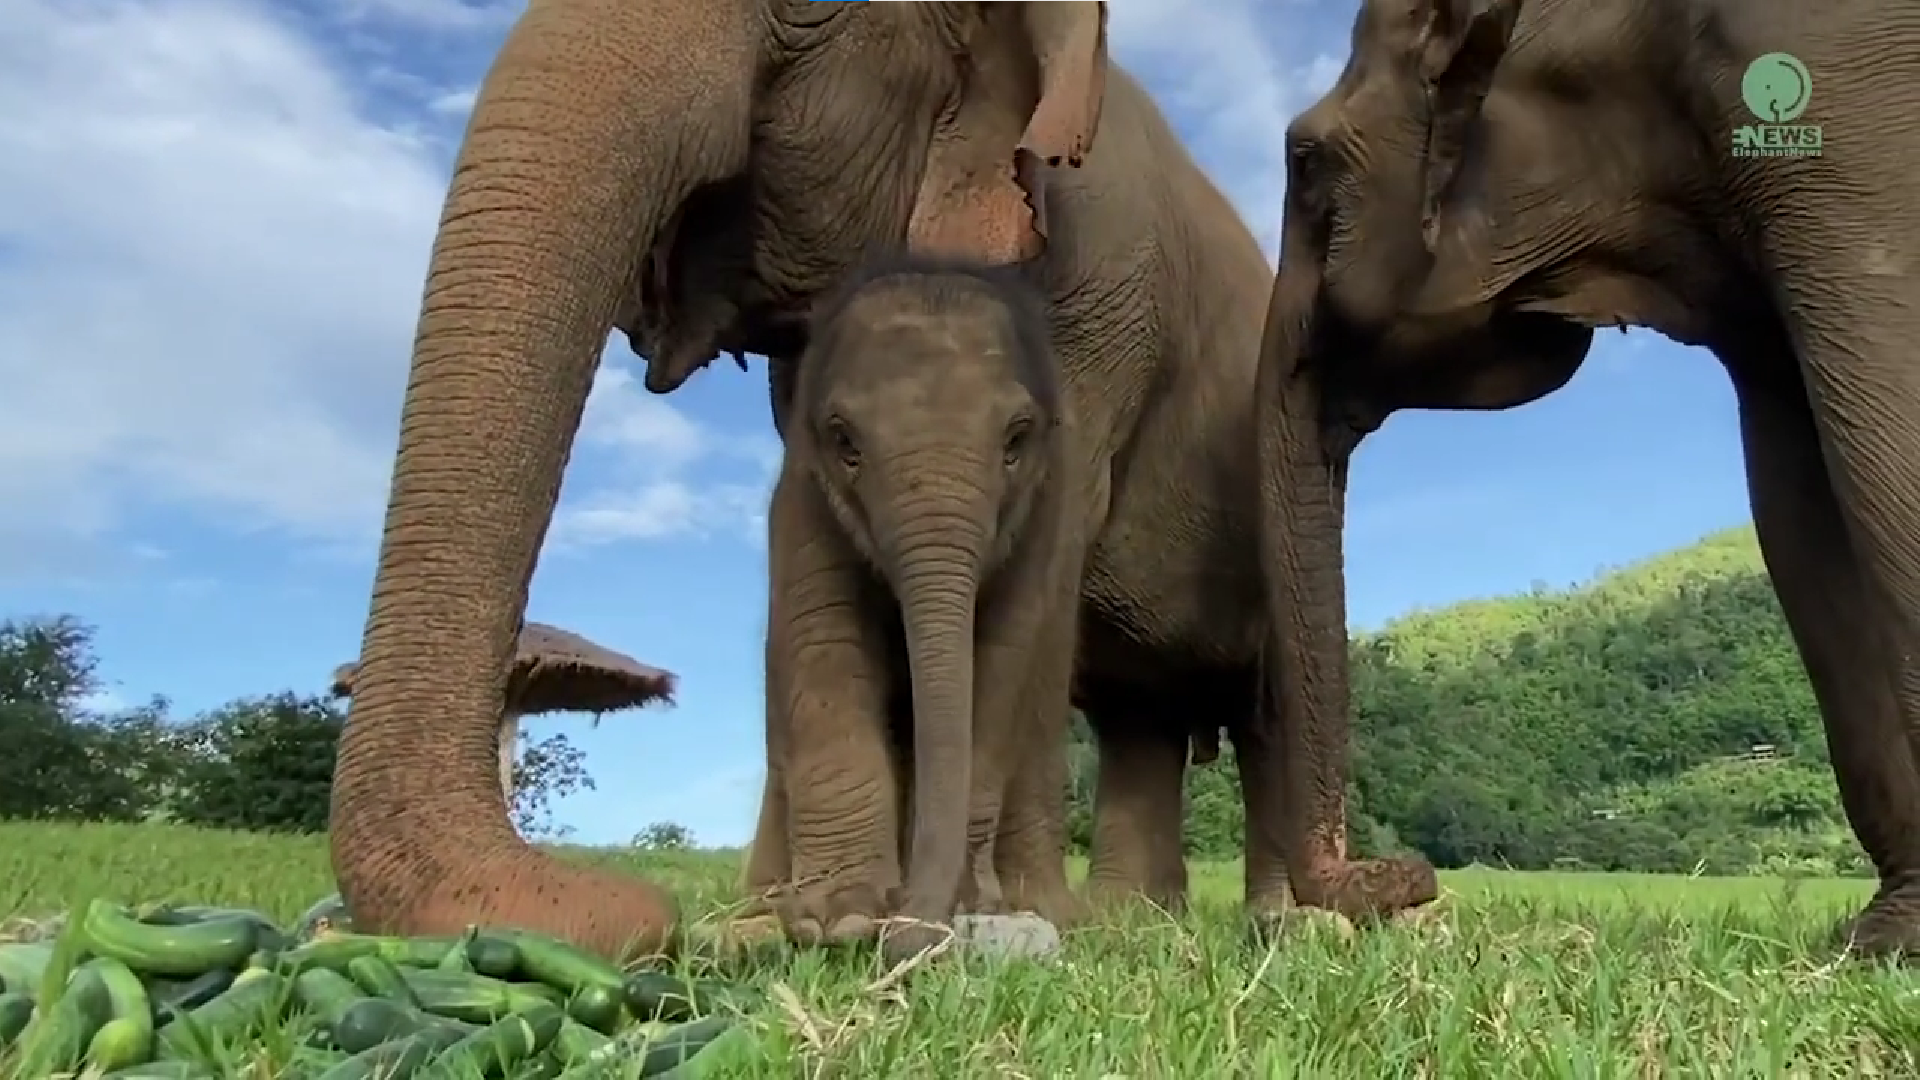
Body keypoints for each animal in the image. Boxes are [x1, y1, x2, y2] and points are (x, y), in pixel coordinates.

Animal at [763, 255, 1085, 958]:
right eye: (846, 443)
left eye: (1016, 441)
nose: (904, 921)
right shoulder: (801, 501)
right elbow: (827, 643)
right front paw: (839, 920)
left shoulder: (1043, 517)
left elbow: (998, 659)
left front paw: (971, 904)